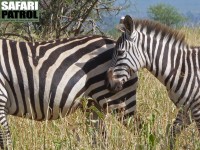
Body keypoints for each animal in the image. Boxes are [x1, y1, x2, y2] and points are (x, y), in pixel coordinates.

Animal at [0, 35, 138, 149]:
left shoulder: (1, 101)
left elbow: (6, 143)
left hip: (120, 100)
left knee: (138, 129)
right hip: (94, 106)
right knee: (100, 139)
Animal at [107, 14, 200, 148]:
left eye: (120, 52)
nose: (108, 84)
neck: (182, 69)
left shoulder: (197, 109)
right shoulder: (185, 110)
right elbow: (171, 135)